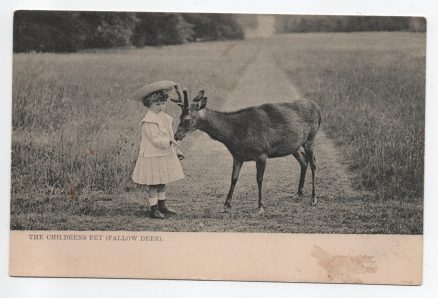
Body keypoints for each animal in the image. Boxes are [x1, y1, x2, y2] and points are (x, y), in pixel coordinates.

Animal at [174, 89, 322, 214]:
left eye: (186, 119)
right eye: (179, 117)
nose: (176, 136)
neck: (234, 135)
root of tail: (318, 108)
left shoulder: (261, 152)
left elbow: (259, 179)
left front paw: (260, 207)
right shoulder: (237, 156)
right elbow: (233, 178)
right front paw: (226, 205)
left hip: (310, 138)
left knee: (314, 164)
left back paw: (314, 198)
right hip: (294, 146)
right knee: (304, 162)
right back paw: (299, 193)